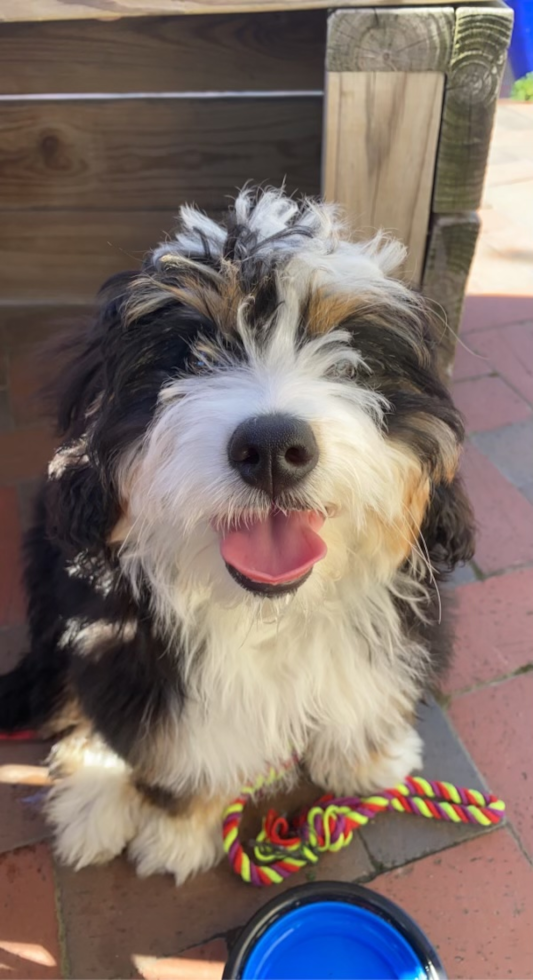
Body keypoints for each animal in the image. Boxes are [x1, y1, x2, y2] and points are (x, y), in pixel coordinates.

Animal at [0, 188, 474, 884]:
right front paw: (178, 831)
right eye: (190, 354)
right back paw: (93, 799)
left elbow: (362, 689)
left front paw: (366, 759)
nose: (272, 447)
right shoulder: (133, 653)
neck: (269, 613)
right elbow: (179, 743)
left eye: (351, 355)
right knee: (72, 696)